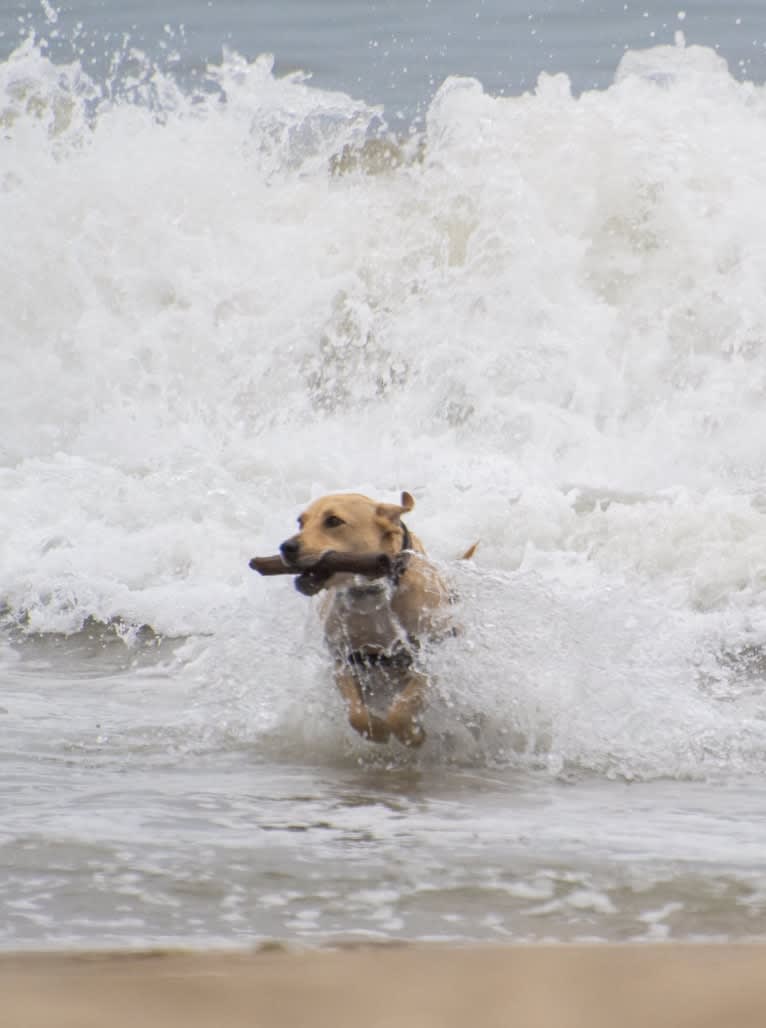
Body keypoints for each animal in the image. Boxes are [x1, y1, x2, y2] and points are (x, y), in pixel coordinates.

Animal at [281, 491, 472, 748]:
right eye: (300, 522)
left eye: (333, 521)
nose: (286, 546)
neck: (373, 592)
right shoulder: (343, 658)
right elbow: (355, 713)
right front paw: (376, 728)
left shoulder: (432, 654)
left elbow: (403, 708)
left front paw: (412, 735)